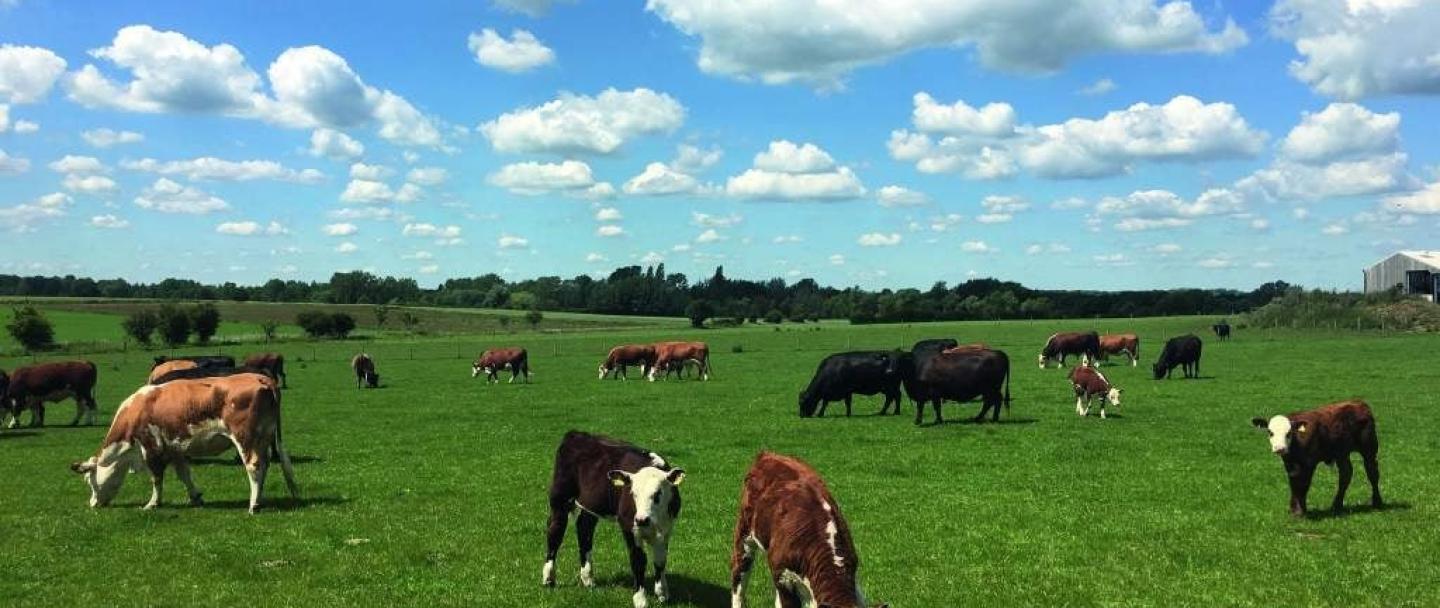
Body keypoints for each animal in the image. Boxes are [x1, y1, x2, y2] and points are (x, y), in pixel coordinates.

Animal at [68, 373, 299, 514]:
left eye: (89, 481)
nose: (93, 504)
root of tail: (261, 378)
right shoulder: (175, 449)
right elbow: (184, 475)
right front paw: (195, 497)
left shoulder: (151, 448)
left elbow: (156, 479)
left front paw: (152, 503)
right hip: (264, 439)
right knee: (266, 465)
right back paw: (263, 499)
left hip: (245, 439)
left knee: (254, 467)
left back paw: (253, 505)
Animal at [543, 431, 684, 608]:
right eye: (633, 493)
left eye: (658, 493)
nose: (641, 519)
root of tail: (577, 434)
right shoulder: (629, 526)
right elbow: (638, 561)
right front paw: (640, 599)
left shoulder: (666, 529)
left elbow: (660, 560)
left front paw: (662, 593)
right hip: (560, 498)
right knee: (555, 532)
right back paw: (548, 578)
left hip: (591, 505)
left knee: (584, 530)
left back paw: (588, 579)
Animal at [1250, 400, 1382, 517]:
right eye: (1270, 432)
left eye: (1289, 433)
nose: (1280, 448)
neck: (1297, 442)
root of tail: (1359, 403)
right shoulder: (1290, 464)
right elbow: (1294, 483)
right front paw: (1294, 509)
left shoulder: (1309, 463)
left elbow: (1303, 484)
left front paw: (1300, 511)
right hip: (1342, 454)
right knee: (1345, 475)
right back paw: (1336, 505)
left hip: (1369, 448)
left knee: (1372, 473)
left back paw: (1377, 502)